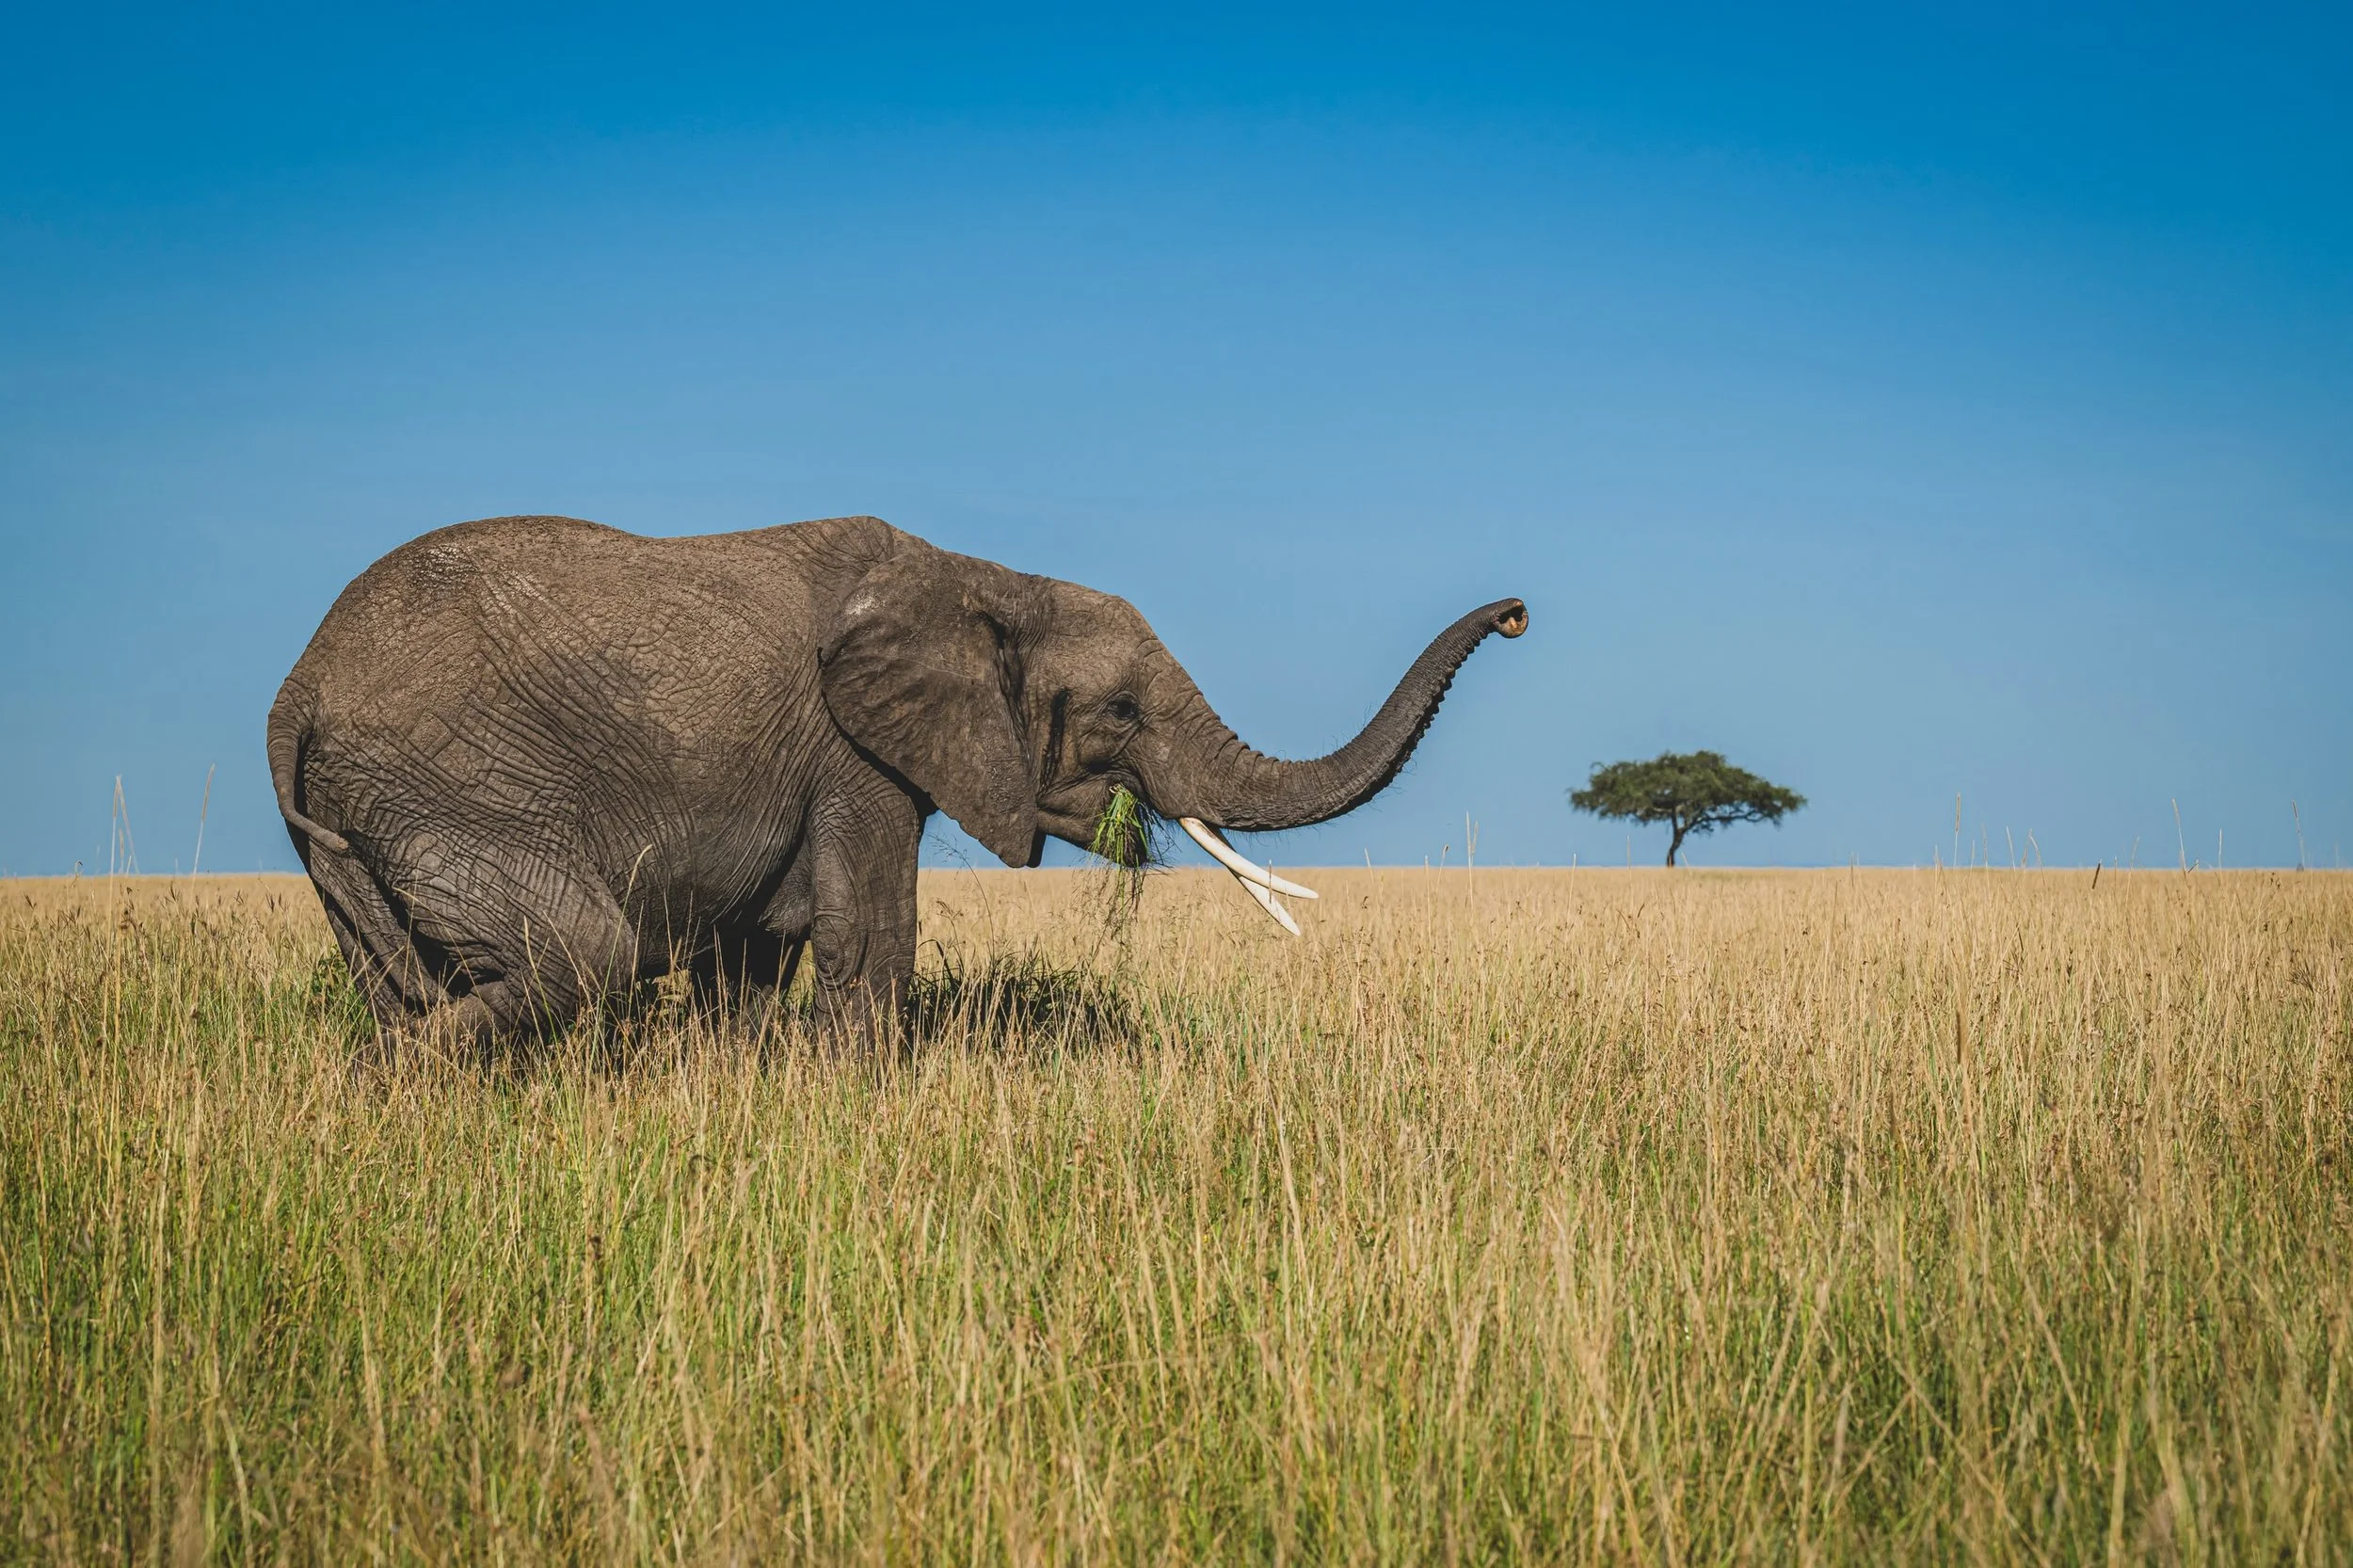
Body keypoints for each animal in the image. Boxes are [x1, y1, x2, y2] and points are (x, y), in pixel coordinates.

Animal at [267, 513, 1527, 1048]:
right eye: (1119, 713)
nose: (1517, 612)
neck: (988, 575)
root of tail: (297, 693)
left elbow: (753, 958)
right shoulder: (853, 753)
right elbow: (867, 933)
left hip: (362, 813)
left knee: (409, 978)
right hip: (447, 786)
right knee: (581, 955)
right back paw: (416, 1072)